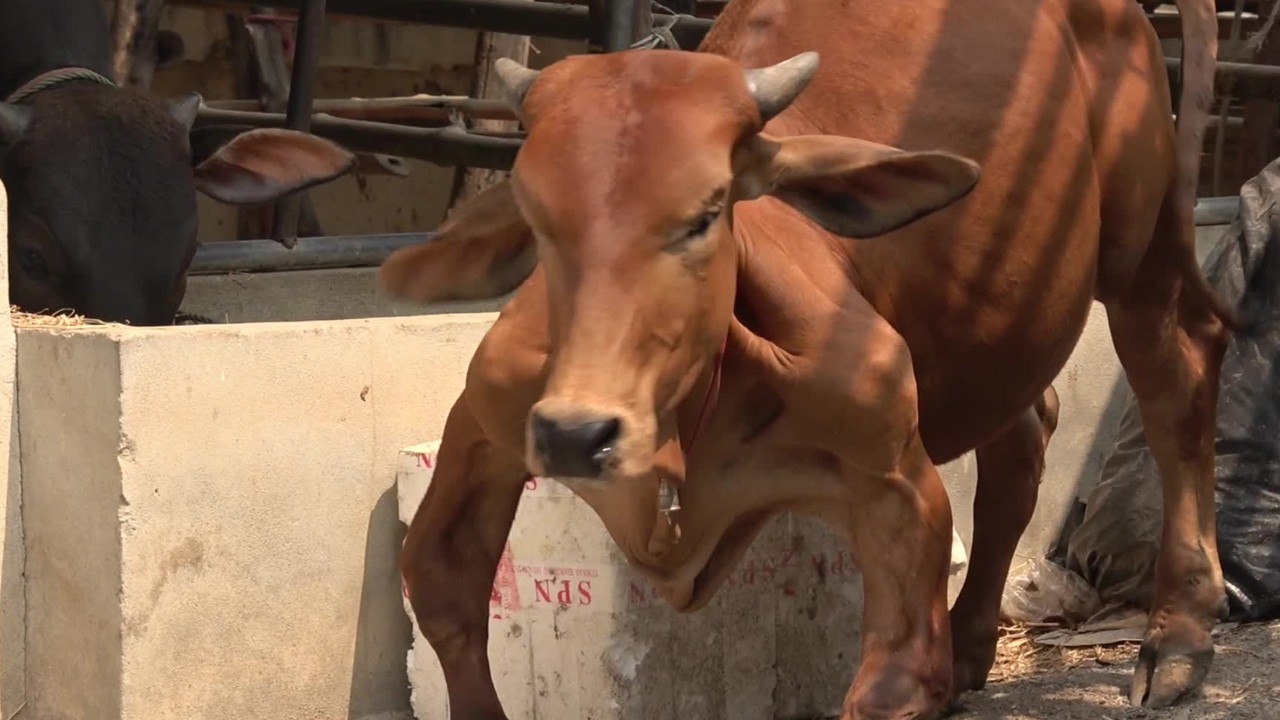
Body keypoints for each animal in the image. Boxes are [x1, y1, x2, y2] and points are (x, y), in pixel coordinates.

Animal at [382, 0, 1233, 717]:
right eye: (536, 219)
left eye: (706, 212)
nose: (574, 435)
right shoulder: (487, 423)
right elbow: (441, 585)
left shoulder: (895, 477)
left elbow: (893, 680)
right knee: (1023, 438)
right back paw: (969, 647)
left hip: (1141, 244)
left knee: (1179, 370)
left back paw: (1176, 639)